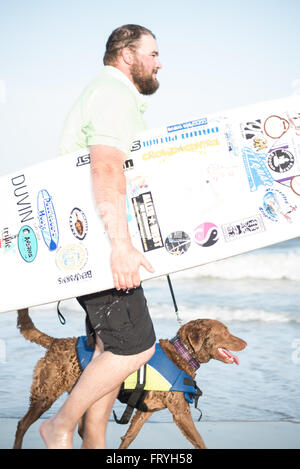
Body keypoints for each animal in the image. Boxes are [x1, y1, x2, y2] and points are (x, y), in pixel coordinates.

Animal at [13, 308, 246, 448]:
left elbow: (129, 436)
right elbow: (199, 440)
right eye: (225, 332)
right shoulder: (181, 412)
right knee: (23, 424)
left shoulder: (145, 411)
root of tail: (55, 341)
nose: (245, 343)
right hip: (45, 393)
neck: (182, 354)